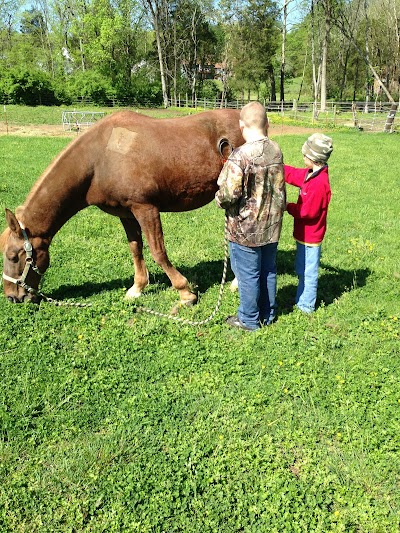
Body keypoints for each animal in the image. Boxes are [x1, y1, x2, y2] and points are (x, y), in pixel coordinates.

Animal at [0, 108, 244, 304]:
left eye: (13, 257)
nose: (12, 297)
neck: (99, 159)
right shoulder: (126, 213)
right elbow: (136, 249)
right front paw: (137, 288)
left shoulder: (145, 208)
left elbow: (158, 251)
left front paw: (184, 292)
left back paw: (235, 283)